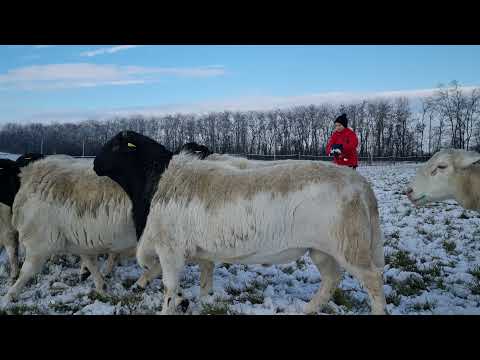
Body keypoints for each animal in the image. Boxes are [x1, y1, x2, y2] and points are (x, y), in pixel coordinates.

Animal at [93, 131, 386, 316]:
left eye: (117, 145)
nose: (95, 164)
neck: (160, 179)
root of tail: (362, 185)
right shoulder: (199, 250)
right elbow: (204, 279)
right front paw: (200, 301)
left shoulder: (169, 249)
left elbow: (169, 286)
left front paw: (168, 307)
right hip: (321, 249)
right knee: (331, 279)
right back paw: (308, 309)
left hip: (350, 246)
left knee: (373, 280)